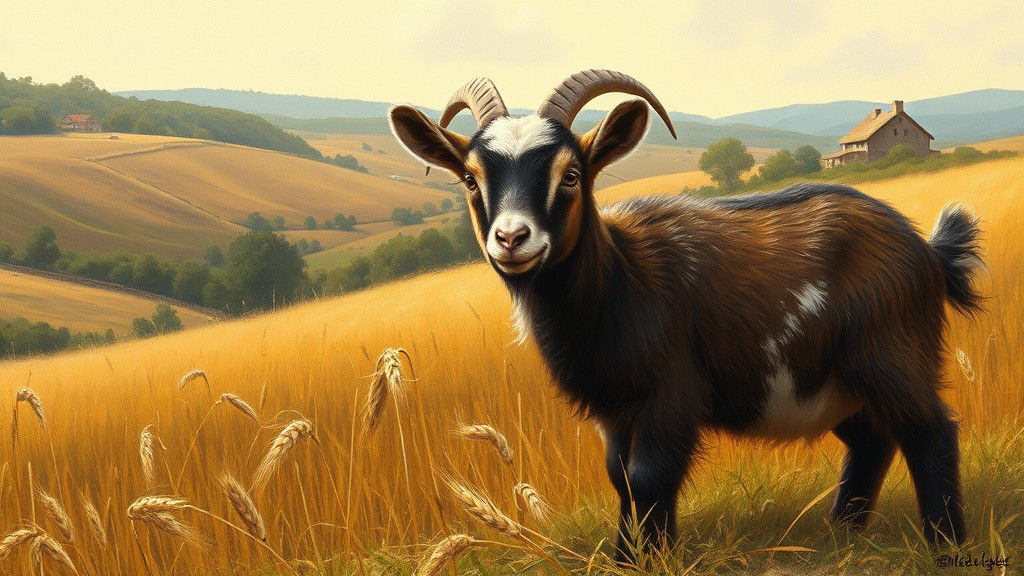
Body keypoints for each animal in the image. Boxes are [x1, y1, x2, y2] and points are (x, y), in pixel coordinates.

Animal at [388, 70, 984, 556]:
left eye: (572, 174)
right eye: (470, 179)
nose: (512, 238)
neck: (623, 282)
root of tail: (927, 251)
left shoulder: (670, 394)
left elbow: (650, 477)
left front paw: (649, 558)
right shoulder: (616, 409)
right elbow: (621, 478)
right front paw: (634, 557)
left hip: (891, 354)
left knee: (930, 431)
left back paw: (946, 546)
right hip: (840, 382)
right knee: (873, 439)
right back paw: (844, 534)